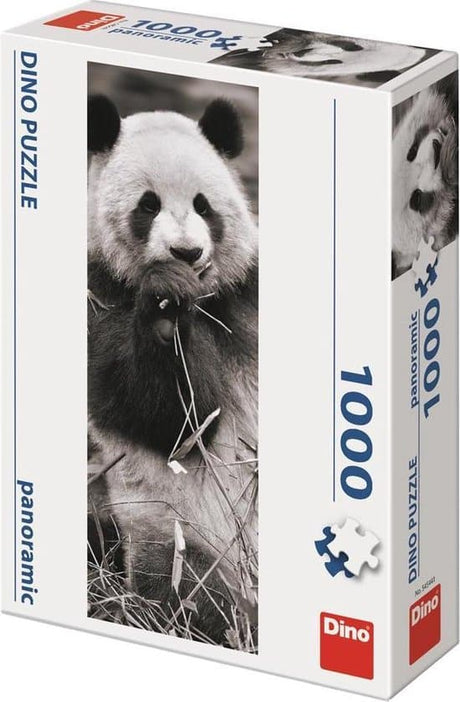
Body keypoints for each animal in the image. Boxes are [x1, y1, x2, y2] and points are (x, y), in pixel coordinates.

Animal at [87, 95, 258, 646]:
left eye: (204, 205)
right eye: (148, 205)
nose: (186, 252)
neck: (204, 300)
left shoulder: (249, 293)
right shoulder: (97, 296)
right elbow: (174, 421)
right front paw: (165, 311)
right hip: (177, 535)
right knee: (192, 597)